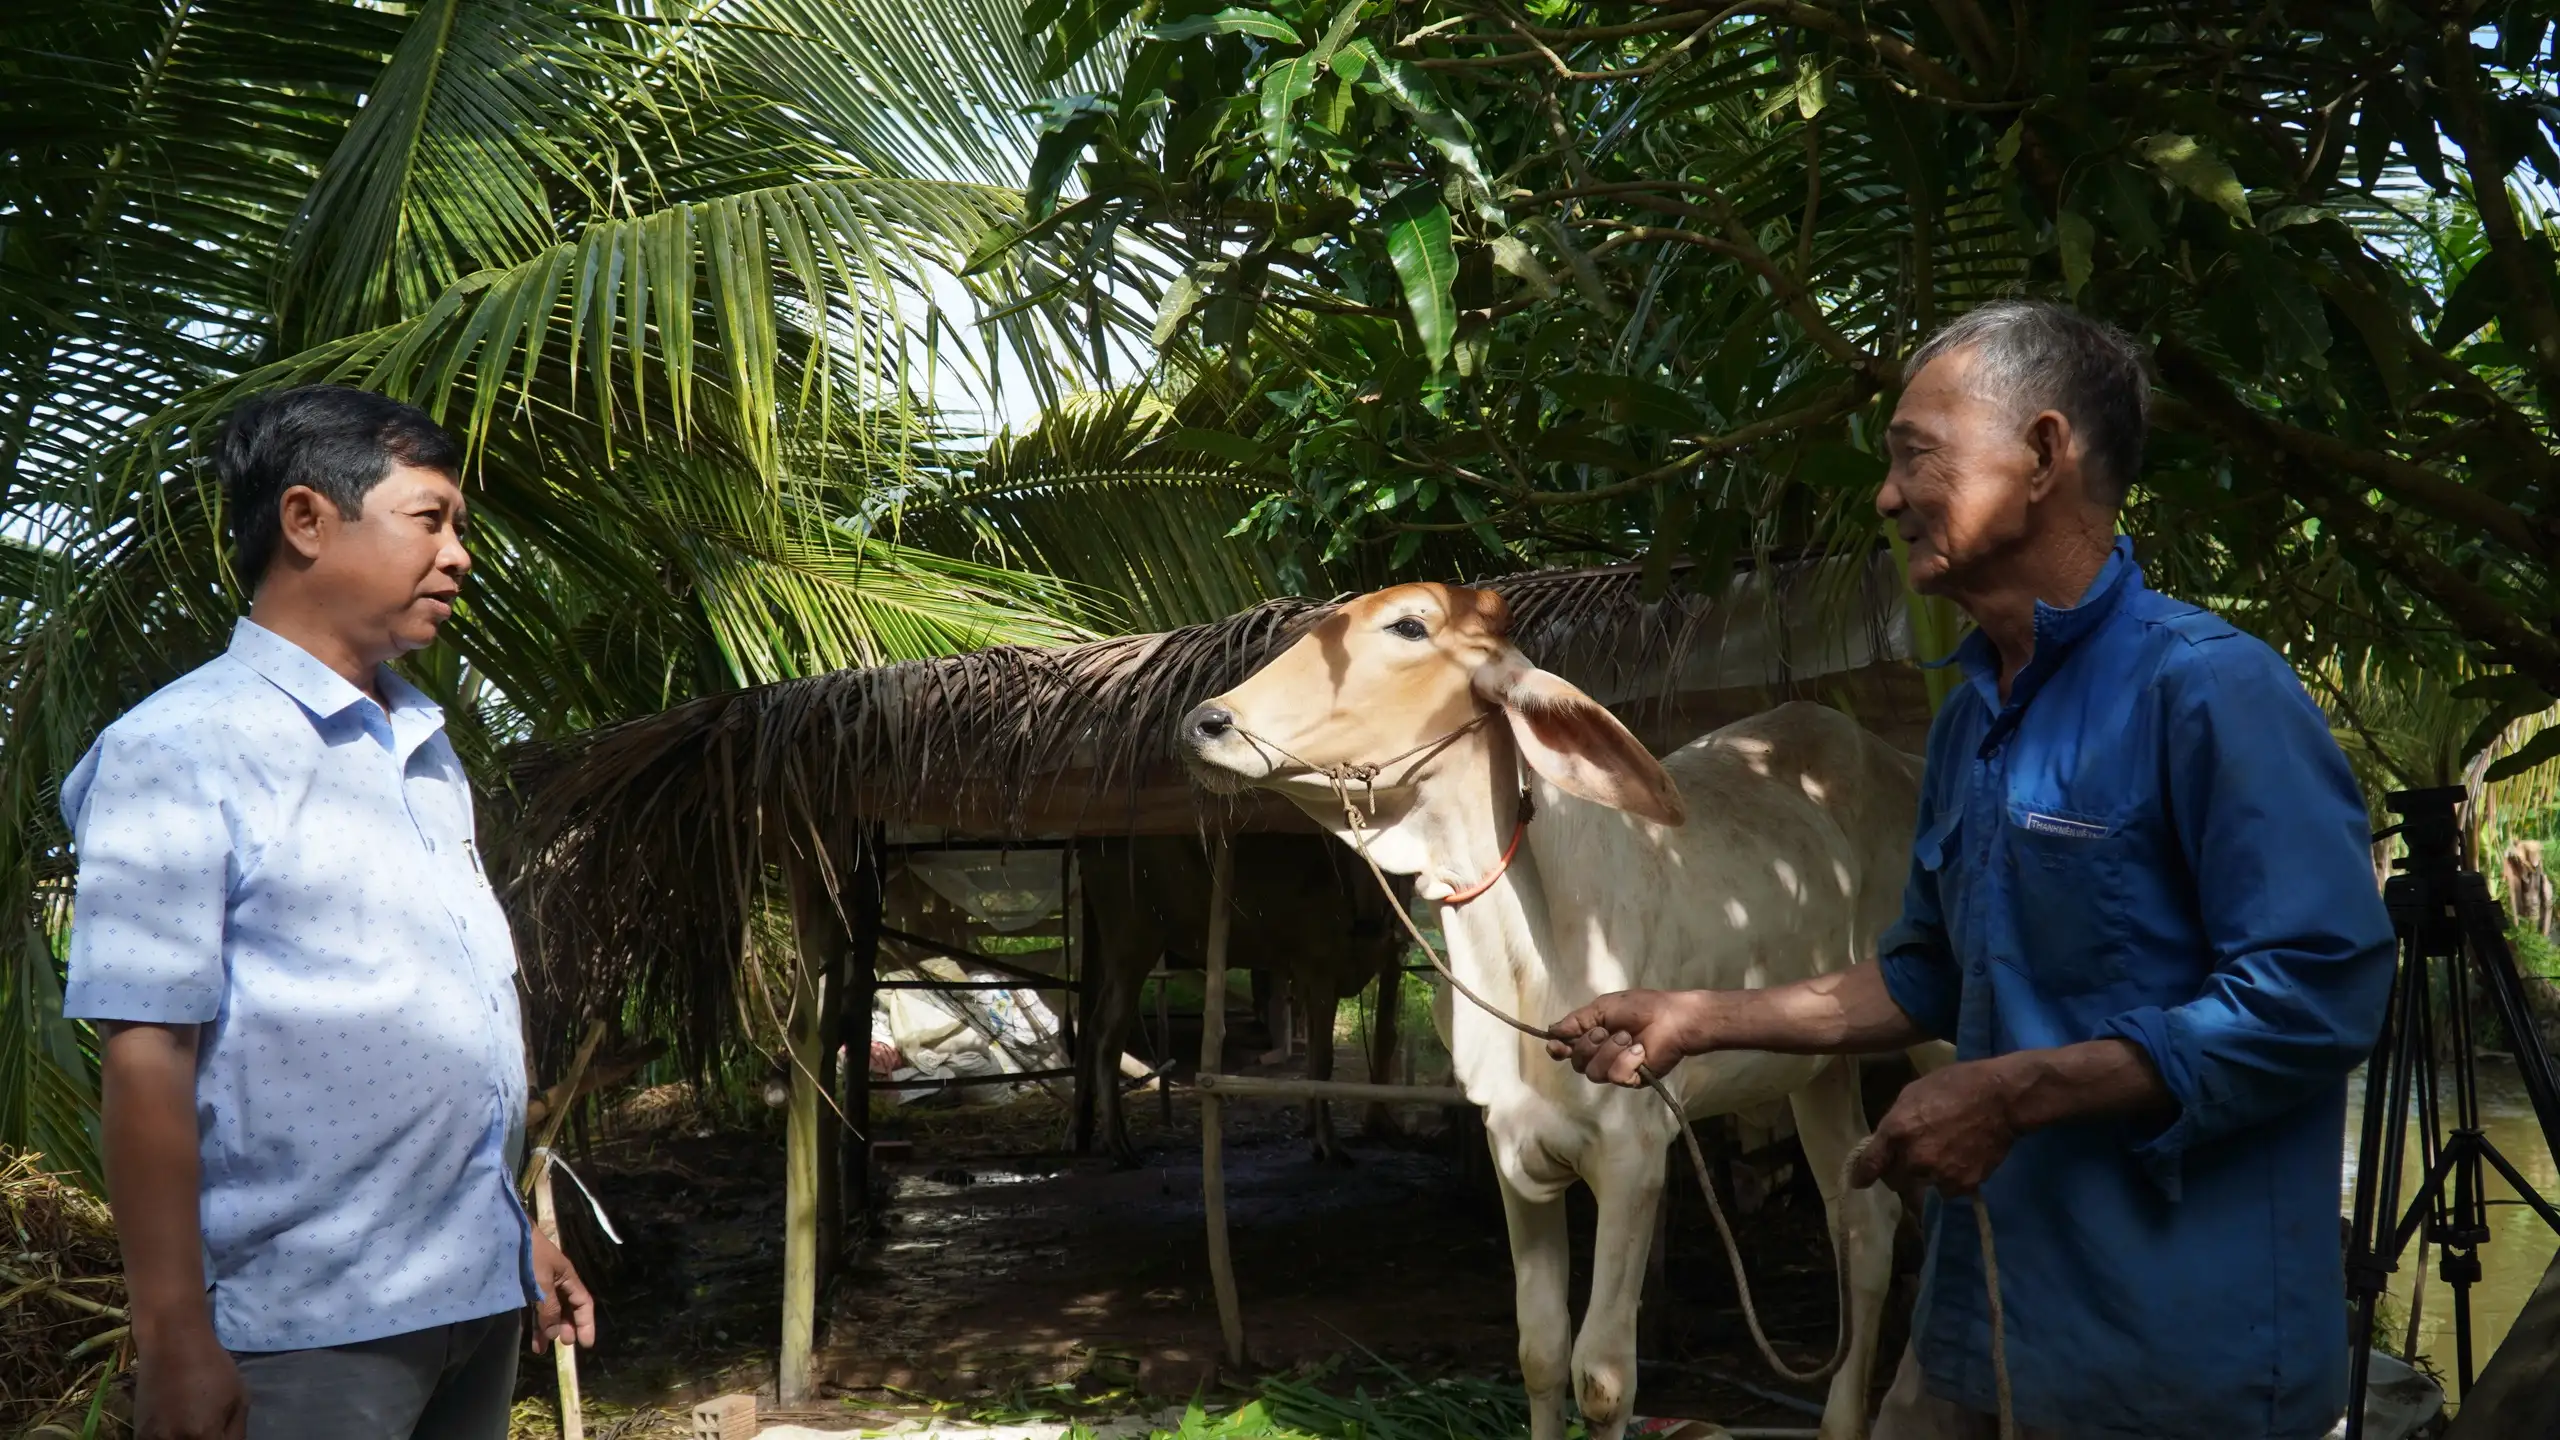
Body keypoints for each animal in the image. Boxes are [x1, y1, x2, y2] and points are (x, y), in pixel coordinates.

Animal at [1187, 576, 1925, 1434]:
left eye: (1409, 627)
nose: (1206, 722)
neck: (1518, 952)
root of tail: (1892, 758)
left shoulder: (1636, 1153)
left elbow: (1601, 1377)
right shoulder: (1511, 1148)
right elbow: (1539, 1351)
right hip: (1815, 1063)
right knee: (1865, 1219)